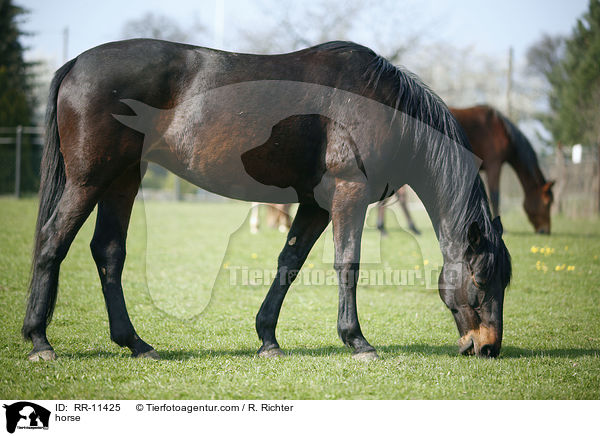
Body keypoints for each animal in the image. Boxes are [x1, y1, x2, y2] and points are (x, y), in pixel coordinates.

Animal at [22, 40, 510, 362]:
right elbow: (347, 264)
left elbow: (288, 262)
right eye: (481, 280)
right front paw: (357, 341)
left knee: (108, 252)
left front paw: (268, 339)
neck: (381, 105)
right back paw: (39, 341)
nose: (488, 348)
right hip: (89, 180)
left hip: (122, 179)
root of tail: (76, 64)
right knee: (51, 242)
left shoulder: (315, 204)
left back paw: (135, 343)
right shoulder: (349, 194)